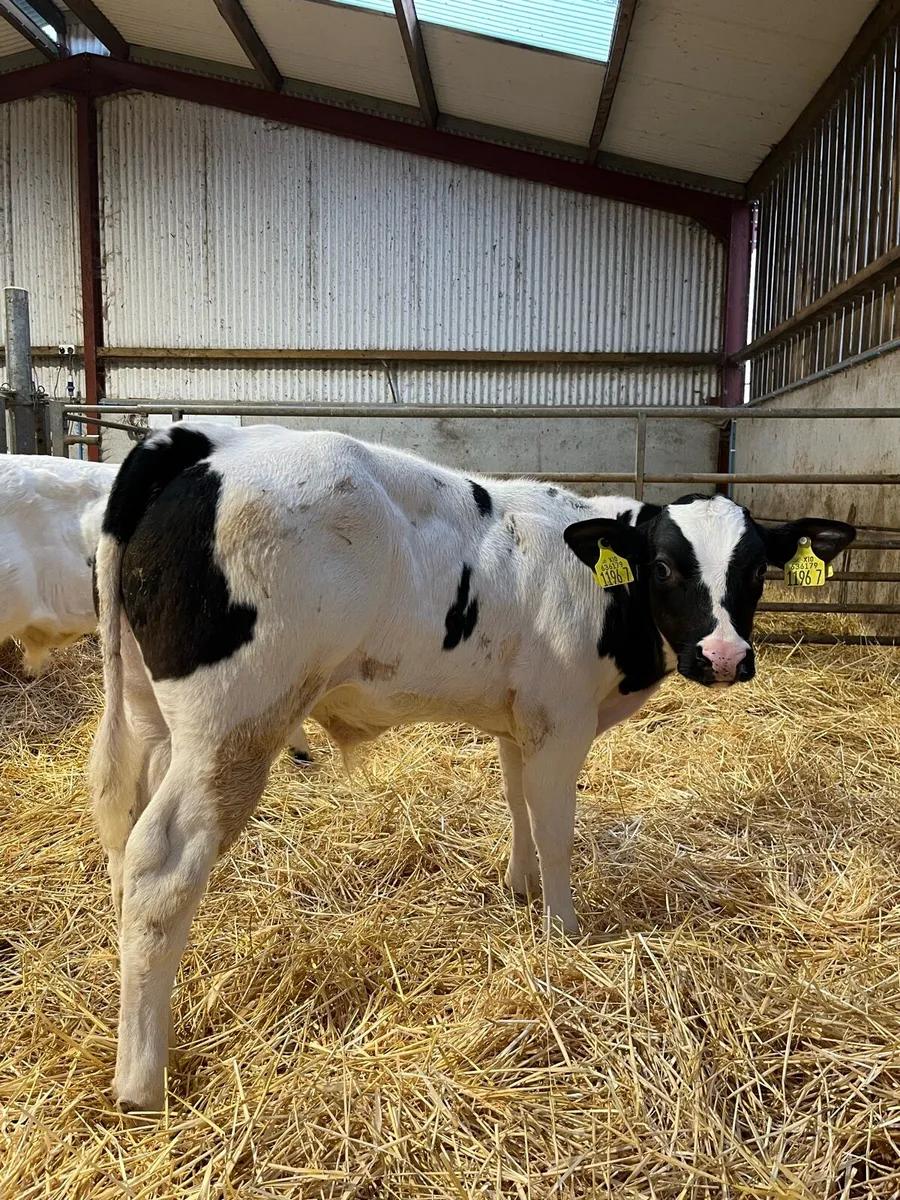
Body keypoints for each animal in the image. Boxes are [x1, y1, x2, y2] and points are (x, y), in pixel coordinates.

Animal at [88, 422, 855, 1111]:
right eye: (665, 567)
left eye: (756, 571)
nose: (724, 657)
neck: (597, 584)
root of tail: (198, 442)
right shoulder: (561, 718)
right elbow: (555, 827)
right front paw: (565, 931)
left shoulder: (521, 721)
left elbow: (518, 804)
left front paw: (519, 890)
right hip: (235, 725)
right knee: (161, 865)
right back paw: (141, 1082)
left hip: (153, 719)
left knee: (122, 834)